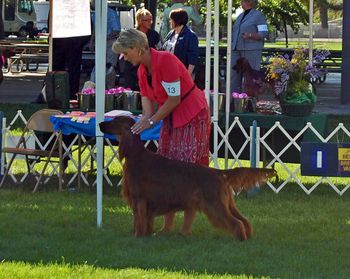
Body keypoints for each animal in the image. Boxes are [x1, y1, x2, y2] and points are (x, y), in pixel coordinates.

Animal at [99, 117, 276, 242]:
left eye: (114, 121)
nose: (100, 123)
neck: (135, 155)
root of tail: (219, 173)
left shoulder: (139, 199)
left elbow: (139, 220)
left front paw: (137, 236)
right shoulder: (145, 202)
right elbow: (145, 221)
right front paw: (147, 234)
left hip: (215, 205)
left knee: (235, 222)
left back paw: (240, 239)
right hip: (227, 203)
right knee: (244, 220)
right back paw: (248, 236)